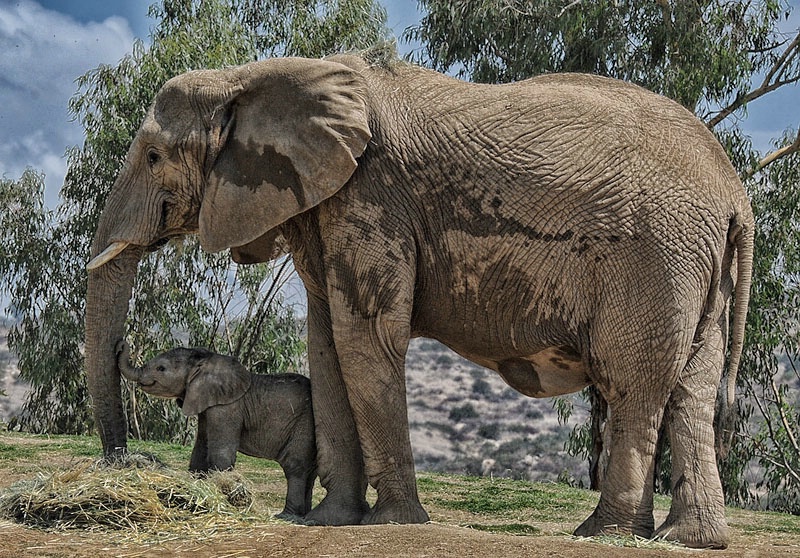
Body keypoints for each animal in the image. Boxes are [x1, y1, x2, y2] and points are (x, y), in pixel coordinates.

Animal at [115, 342, 316, 520]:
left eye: (161, 368)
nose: (121, 344)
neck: (204, 361)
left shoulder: (226, 408)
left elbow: (220, 454)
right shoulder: (205, 404)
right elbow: (200, 449)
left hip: (303, 423)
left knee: (294, 466)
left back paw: (287, 515)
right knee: (310, 472)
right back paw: (303, 514)